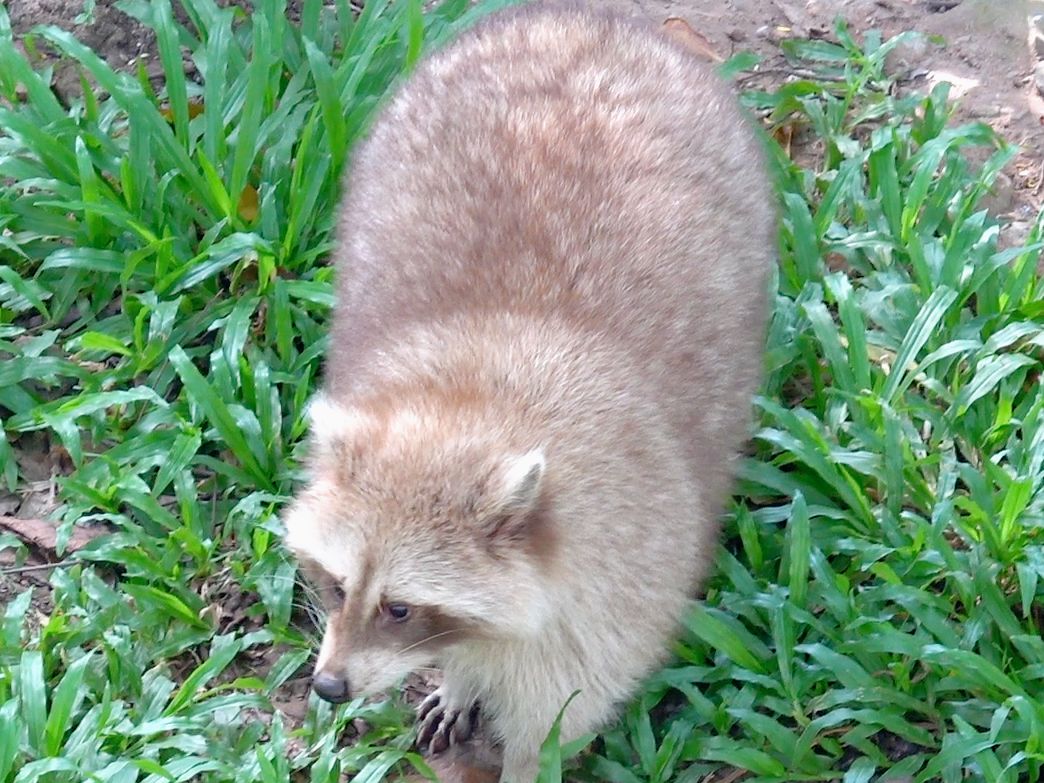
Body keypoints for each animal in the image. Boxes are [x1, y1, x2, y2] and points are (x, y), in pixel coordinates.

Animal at [283, 3, 776, 780]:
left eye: (400, 608)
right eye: (335, 585)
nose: (329, 688)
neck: (471, 409)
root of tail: (584, 22)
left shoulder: (620, 573)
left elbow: (556, 716)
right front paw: (461, 677)